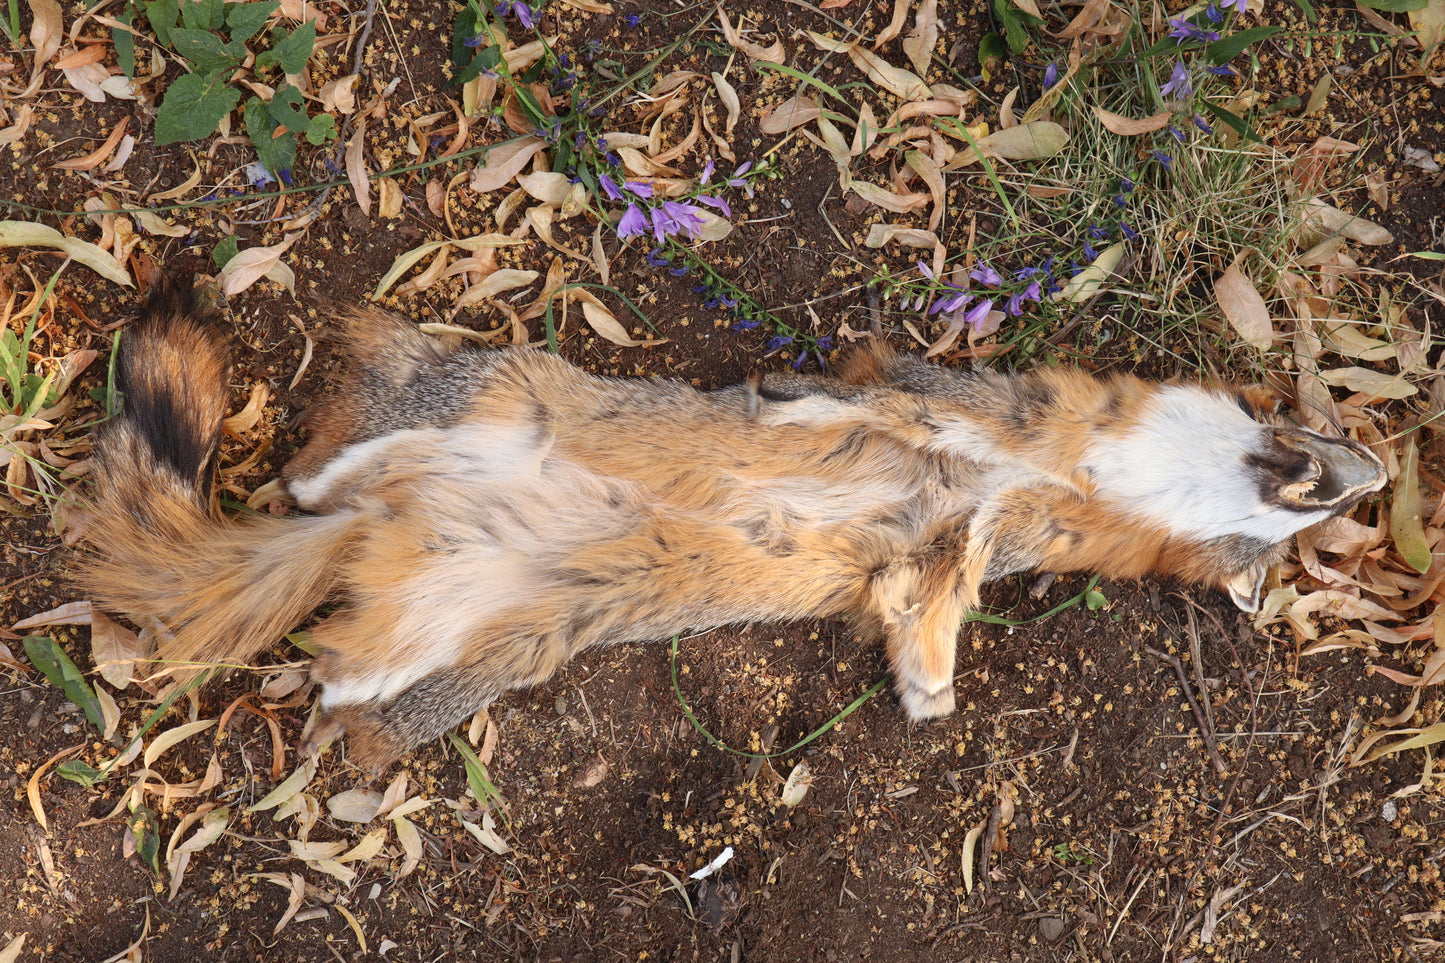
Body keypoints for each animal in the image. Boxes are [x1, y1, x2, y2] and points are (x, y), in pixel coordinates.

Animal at [76, 284, 1387, 771]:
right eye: (1322, 458)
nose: (1374, 472)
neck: (1076, 467)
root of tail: (386, 533)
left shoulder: (940, 554)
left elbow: (928, 619)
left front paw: (927, 697)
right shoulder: (922, 399)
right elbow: (843, 394)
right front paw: (788, 402)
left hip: (472, 653)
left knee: (339, 662)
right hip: (504, 397)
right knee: (354, 474)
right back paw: (339, 476)